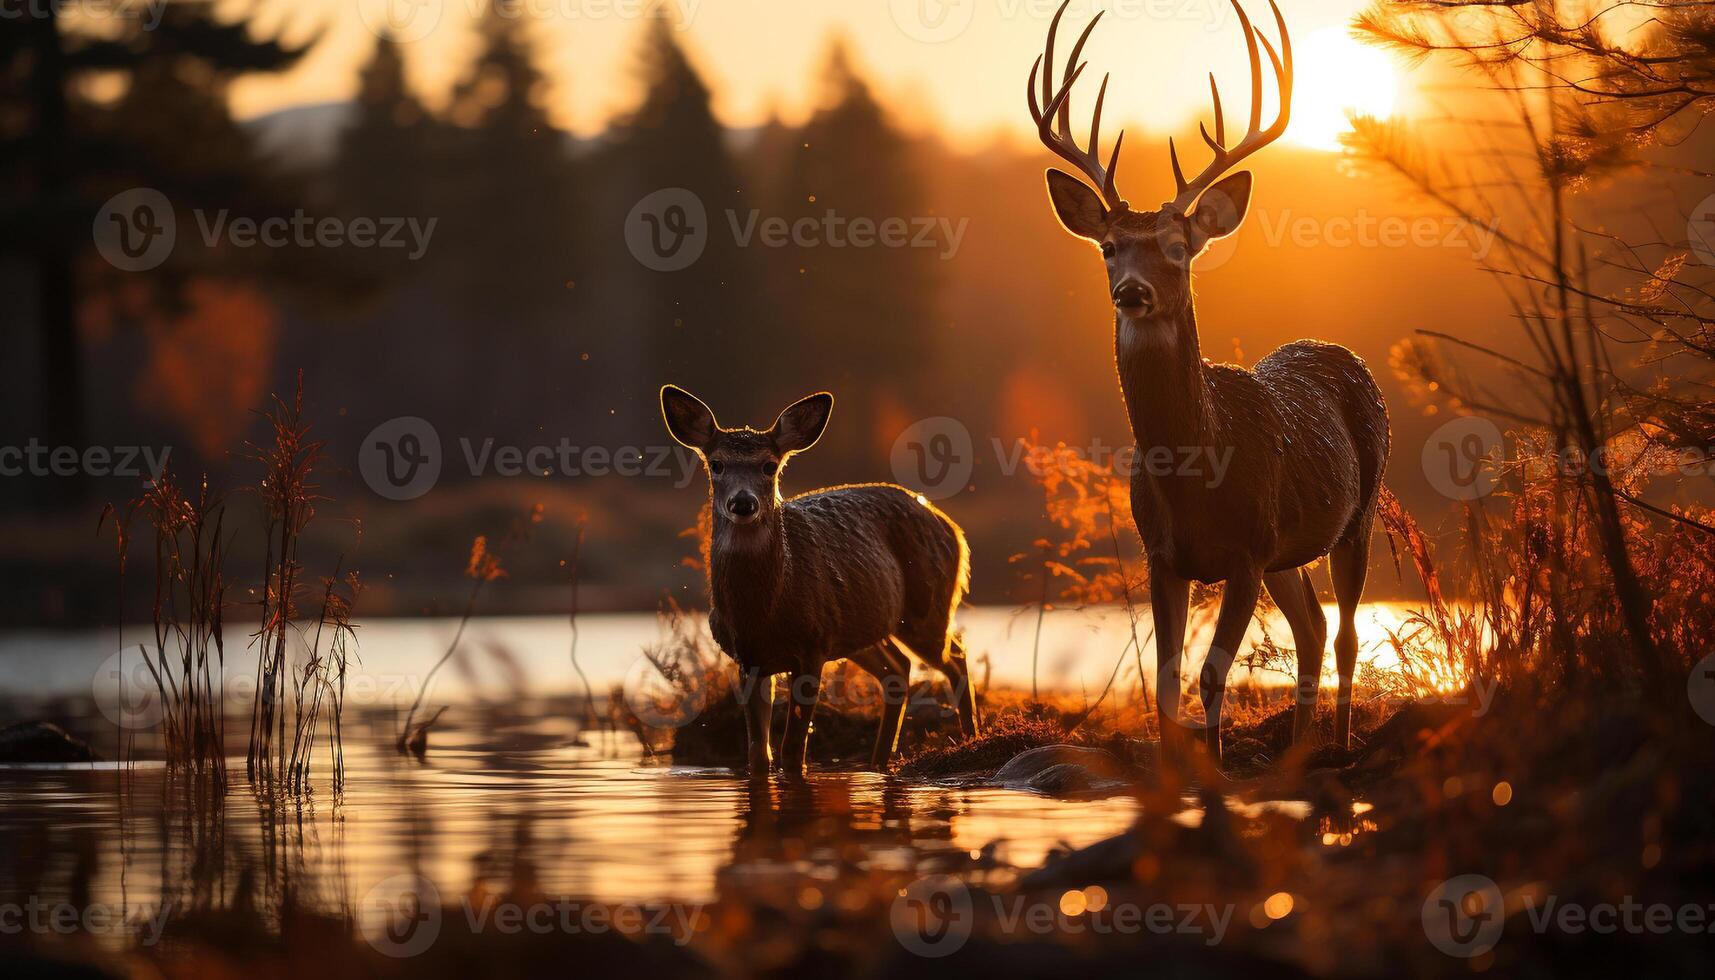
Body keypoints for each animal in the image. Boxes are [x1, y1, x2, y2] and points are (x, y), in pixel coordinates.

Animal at [658, 387, 980, 779]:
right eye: (716, 464)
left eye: (769, 465)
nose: (743, 502)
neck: (763, 614)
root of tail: (952, 527)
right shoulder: (747, 658)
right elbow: (757, 754)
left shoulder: (811, 646)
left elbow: (792, 750)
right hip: (859, 626)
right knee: (898, 668)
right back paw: (878, 762)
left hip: (926, 609)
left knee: (956, 655)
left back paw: (970, 738)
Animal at [1022, 0, 1385, 765]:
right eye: (1108, 246)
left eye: (1178, 248)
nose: (1131, 292)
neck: (1195, 472)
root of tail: (1331, 346)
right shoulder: (1163, 556)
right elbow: (1163, 678)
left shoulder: (1247, 550)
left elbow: (1212, 674)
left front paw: (1214, 769)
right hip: (1288, 552)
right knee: (1312, 629)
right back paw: (1295, 755)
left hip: (1358, 513)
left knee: (1343, 633)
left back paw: (1337, 747)